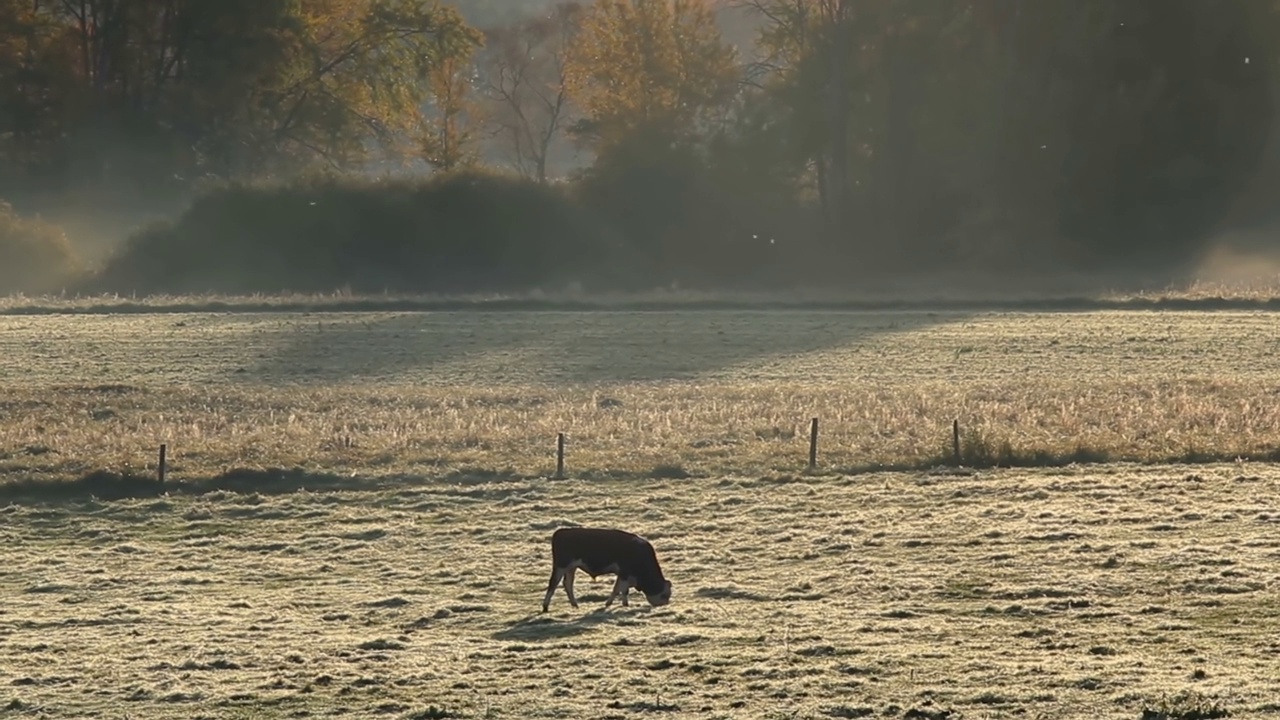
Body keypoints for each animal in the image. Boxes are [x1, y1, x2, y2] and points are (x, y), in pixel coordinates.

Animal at [540, 525, 675, 607]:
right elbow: (623, 590)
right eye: (665, 594)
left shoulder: (622, 574)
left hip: (571, 568)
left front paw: (608, 603)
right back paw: (545, 606)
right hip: (560, 567)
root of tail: (560, 532)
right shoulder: (625, 574)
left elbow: (616, 588)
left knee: (568, 584)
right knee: (553, 583)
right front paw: (625, 605)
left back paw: (575, 605)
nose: (664, 603)